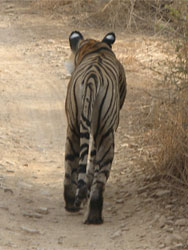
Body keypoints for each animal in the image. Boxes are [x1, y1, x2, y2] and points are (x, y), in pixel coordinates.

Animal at [63, 31, 126, 225]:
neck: (95, 47)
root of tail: (93, 75)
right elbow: (92, 158)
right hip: (105, 133)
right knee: (100, 177)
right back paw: (94, 215)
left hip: (74, 128)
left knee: (71, 164)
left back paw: (72, 204)